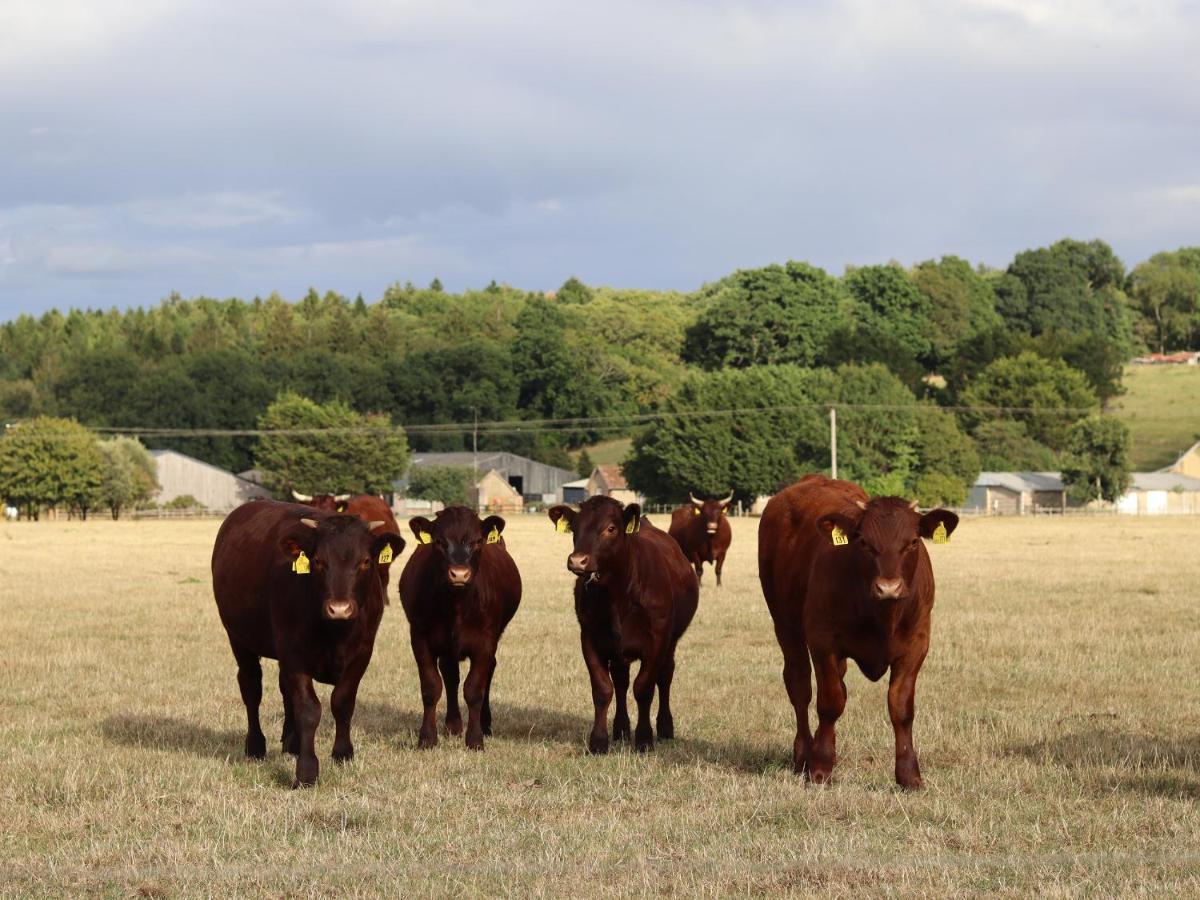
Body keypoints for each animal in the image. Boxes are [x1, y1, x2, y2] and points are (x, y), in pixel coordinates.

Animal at [213, 501, 405, 787]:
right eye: (317, 561)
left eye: (366, 561)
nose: (339, 608)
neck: (336, 632)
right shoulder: (295, 655)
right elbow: (308, 709)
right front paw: (306, 771)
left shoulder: (362, 653)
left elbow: (342, 702)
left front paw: (342, 753)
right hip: (239, 639)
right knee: (251, 688)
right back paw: (256, 746)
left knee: (284, 691)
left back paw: (291, 743)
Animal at [398, 508, 520, 753]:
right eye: (438, 541)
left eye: (477, 541)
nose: (459, 574)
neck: (456, 605)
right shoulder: (420, 639)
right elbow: (431, 688)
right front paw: (427, 738)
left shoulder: (485, 643)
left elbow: (474, 690)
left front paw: (475, 740)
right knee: (450, 675)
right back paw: (453, 725)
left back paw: (485, 724)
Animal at [549, 496, 700, 758]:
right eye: (575, 528)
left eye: (611, 528)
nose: (578, 560)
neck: (617, 595)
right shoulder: (589, 638)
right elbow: (603, 689)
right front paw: (599, 741)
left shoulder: (657, 641)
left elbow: (644, 687)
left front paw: (644, 739)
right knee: (620, 682)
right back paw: (620, 729)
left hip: (671, 642)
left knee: (665, 676)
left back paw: (665, 727)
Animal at [763, 472, 960, 787]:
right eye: (864, 542)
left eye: (913, 542)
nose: (888, 588)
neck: (882, 616)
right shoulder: (823, 642)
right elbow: (830, 702)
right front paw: (820, 767)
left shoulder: (916, 645)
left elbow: (900, 708)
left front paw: (908, 775)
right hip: (784, 625)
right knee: (800, 686)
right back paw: (803, 754)